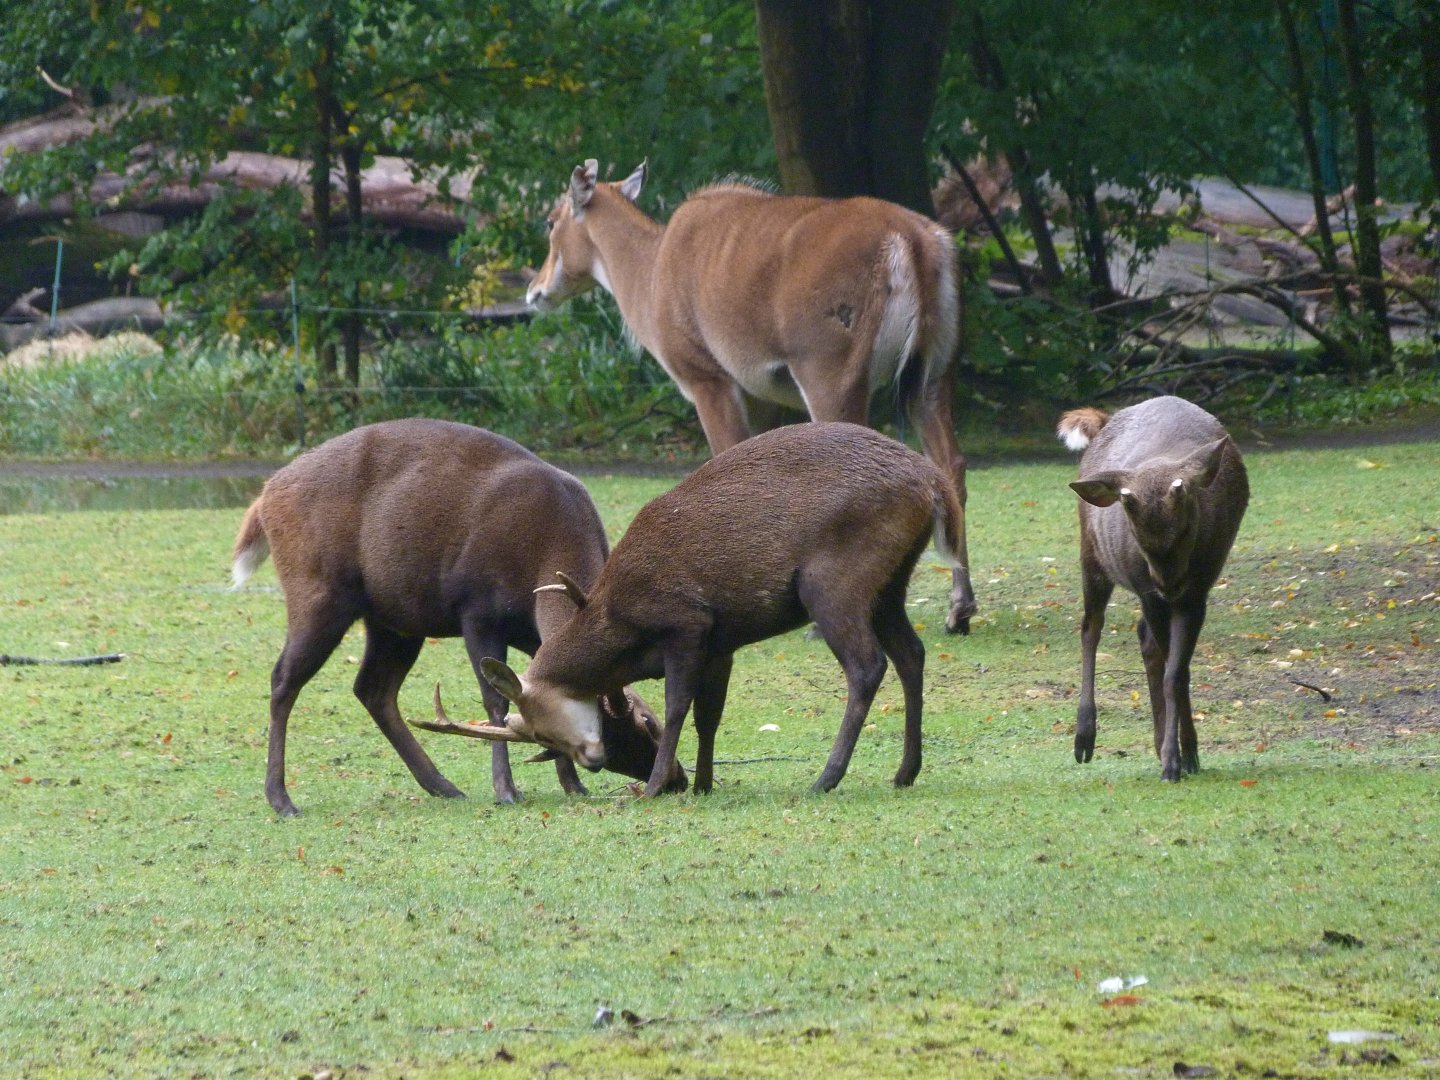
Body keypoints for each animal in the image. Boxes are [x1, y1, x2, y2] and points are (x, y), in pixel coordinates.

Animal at [230, 418, 686, 816]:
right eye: (643, 722)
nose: (677, 779)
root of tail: (264, 498)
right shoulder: (477, 610)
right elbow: (495, 698)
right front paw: (506, 789)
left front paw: (572, 785)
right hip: (317, 593)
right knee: (284, 679)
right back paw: (281, 799)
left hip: (394, 621)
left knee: (372, 688)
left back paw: (442, 785)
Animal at [433, 422, 966, 797]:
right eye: (547, 742)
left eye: (543, 727)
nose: (594, 760)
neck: (620, 625)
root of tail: (933, 485)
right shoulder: (721, 641)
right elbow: (709, 714)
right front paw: (706, 783)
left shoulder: (687, 622)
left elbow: (677, 707)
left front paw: (653, 787)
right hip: (890, 585)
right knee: (912, 652)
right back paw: (905, 771)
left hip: (835, 583)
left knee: (867, 665)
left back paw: (826, 777)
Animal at [525, 158, 978, 635]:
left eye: (551, 221)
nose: (535, 291)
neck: (651, 268)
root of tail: (911, 238)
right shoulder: (763, 396)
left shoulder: (709, 380)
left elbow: (724, 457)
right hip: (933, 378)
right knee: (949, 463)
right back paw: (959, 609)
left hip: (830, 378)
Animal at [1058, 396, 1249, 781]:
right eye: (1133, 525)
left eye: (1187, 519)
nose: (1168, 582)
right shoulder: (1148, 591)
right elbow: (1169, 669)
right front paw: (1173, 760)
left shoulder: (1197, 592)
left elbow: (1176, 673)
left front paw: (1186, 755)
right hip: (1092, 556)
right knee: (1090, 627)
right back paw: (1084, 738)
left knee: (1144, 639)